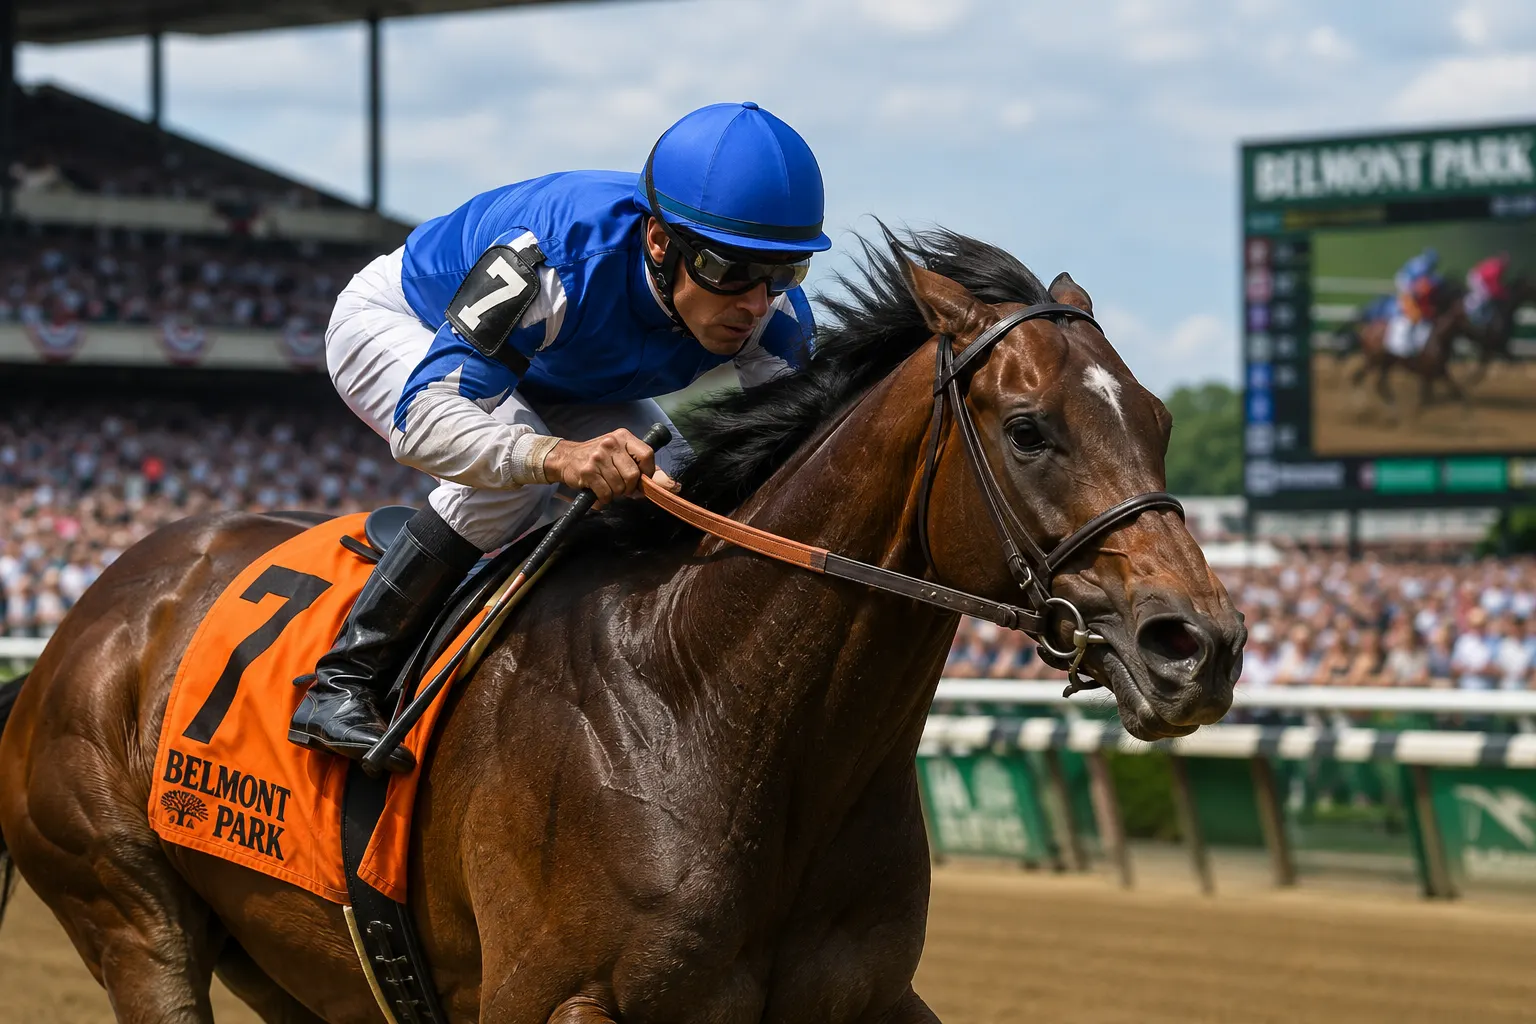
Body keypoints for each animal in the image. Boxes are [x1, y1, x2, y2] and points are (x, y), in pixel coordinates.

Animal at [0, 228, 1245, 1023]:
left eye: (1158, 418)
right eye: (1031, 428)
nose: (1199, 644)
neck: (715, 706)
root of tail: (89, 617)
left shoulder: (870, 1000)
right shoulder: (551, 999)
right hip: (131, 914)